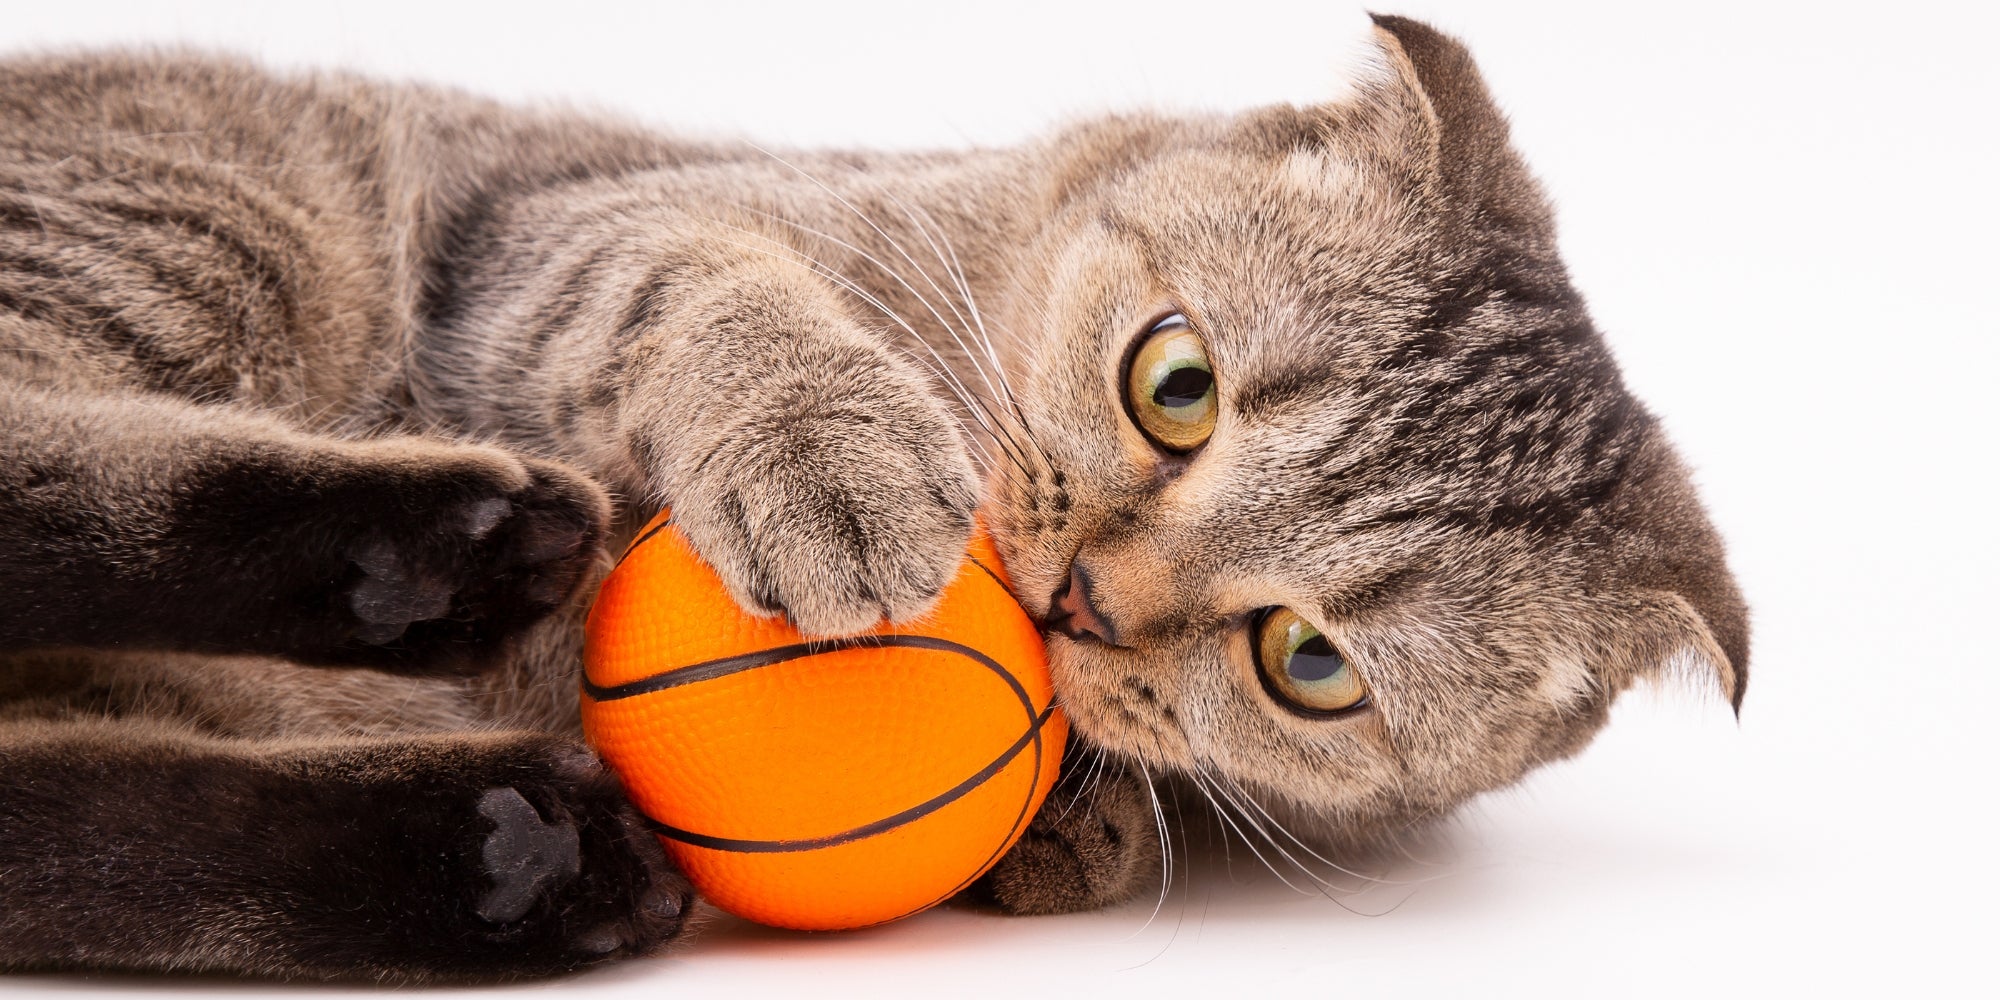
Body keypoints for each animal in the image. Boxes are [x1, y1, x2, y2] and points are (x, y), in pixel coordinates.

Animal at [0, 13, 1752, 984]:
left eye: (1308, 664)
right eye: (1175, 384)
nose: (1084, 597)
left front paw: (1078, 820)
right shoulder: (566, 235)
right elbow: (705, 288)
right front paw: (824, 445)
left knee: (62, 817)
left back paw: (507, 852)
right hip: (208, 226)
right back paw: (446, 558)